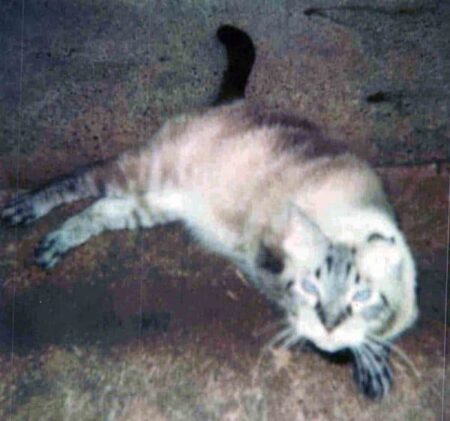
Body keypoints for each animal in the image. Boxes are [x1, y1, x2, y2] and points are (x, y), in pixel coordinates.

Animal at [2, 24, 418, 398]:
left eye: (359, 296)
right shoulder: (268, 261)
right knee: (79, 179)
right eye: (312, 287)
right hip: (139, 172)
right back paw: (26, 209)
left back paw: (54, 244)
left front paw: (368, 356)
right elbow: (291, 303)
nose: (328, 327)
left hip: (160, 202)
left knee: (101, 210)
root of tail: (232, 104)